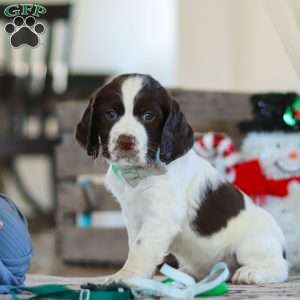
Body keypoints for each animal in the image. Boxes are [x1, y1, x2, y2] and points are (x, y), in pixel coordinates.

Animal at [75, 72, 288, 284]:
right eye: (110, 114)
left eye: (148, 116)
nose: (125, 141)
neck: (139, 174)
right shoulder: (132, 214)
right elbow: (136, 244)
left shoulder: (161, 215)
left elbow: (142, 247)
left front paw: (127, 276)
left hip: (253, 243)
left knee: (280, 268)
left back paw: (253, 272)